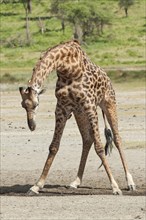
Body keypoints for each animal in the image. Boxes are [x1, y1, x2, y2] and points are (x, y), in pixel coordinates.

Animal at [18, 39, 135, 194]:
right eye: (23, 105)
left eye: (36, 104)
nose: (32, 125)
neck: (67, 69)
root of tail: (108, 78)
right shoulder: (62, 108)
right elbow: (54, 146)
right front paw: (37, 185)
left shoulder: (90, 106)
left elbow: (99, 147)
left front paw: (115, 186)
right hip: (79, 113)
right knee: (87, 140)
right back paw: (76, 182)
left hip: (109, 103)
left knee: (117, 139)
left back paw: (130, 182)